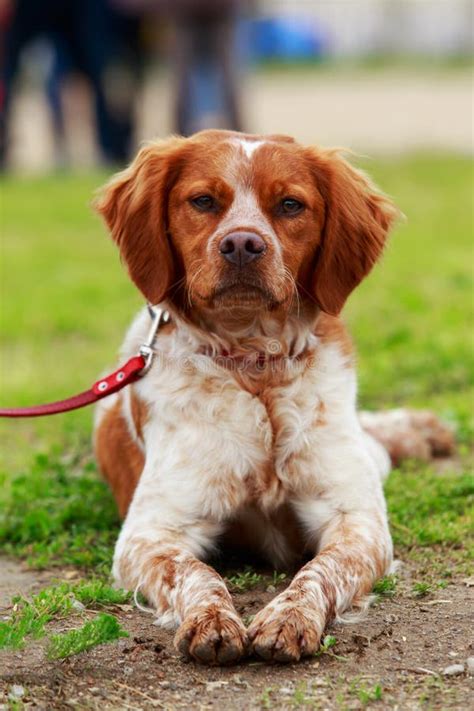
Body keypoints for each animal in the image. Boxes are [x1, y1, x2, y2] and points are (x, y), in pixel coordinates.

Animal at [93, 129, 456, 668]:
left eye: (289, 205)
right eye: (203, 201)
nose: (243, 243)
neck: (256, 370)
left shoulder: (358, 520)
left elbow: (321, 572)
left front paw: (289, 618)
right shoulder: (150, 532)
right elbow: (196, 573)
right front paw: (211, 620)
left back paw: (421, 430)